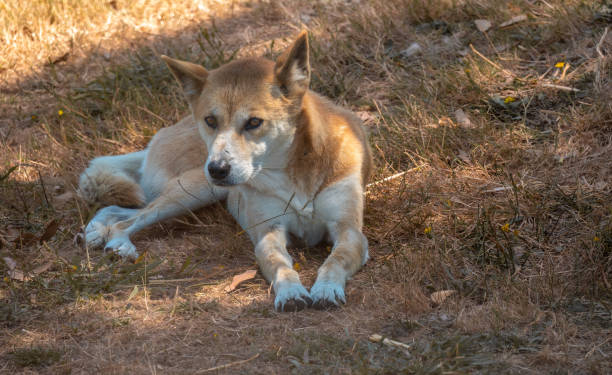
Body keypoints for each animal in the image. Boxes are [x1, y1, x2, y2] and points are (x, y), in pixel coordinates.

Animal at [77, 30, 372, 312]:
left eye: (254, 122)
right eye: (210, 120)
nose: (217, 168)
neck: (293, 173)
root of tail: (160, 136)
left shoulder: (349, 231)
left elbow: (335, 260)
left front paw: (326, 288)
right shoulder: (269, 232)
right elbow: (279, 264)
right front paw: (290, 292)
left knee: (116, 210)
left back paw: (96, 232)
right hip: (195, 190)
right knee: (127, 220)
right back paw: (117, 242)